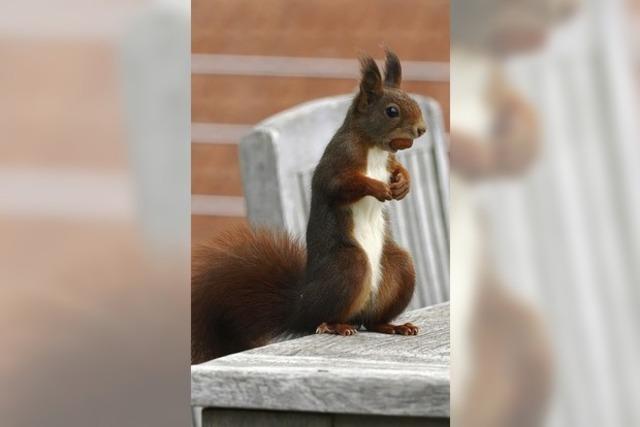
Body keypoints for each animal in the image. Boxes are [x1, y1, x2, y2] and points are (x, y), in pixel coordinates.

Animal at [192, 50, 428, 364]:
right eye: (392, 111)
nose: (422, 129)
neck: (376, 148)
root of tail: (301, 306)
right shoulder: (336, 163)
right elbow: (340, 186)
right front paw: (378, 188)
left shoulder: (388, 161)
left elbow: (398, 169)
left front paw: (404, 184)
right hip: (350, 265)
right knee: (325, 318)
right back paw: (334, 325)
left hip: (398, 267)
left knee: (370, 321)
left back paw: (394, 326)